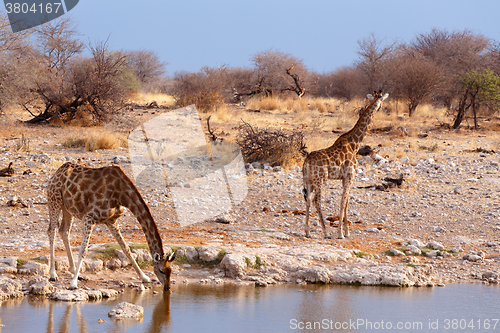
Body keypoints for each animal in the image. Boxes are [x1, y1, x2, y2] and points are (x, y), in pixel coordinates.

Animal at [45, 161, 178, 290]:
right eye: (161, 270)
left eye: (171, 270)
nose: (167, 288)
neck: (121, 194)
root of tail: (56, 173)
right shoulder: (89, 217)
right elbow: (83, 250)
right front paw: (73, 284)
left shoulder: (111, 221)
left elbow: (126, 248)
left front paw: (144, 277)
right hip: (54, 200)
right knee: (52, 230)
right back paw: (53, 275)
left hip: (67, 207)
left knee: (64, 231)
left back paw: (74, 272)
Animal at [300, 91, 390, 239]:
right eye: (382, 101)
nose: (381, 109)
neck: (355, 145)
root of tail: (306, 161)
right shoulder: (350, 176)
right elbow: (343, 202)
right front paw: (340, 233)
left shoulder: (344, 178)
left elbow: (347, 202)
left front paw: (347, 231)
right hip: (319, 179)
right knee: (316, 201)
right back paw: (326, 233)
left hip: (308, 180)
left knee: (307, 200)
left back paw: (307, 232)